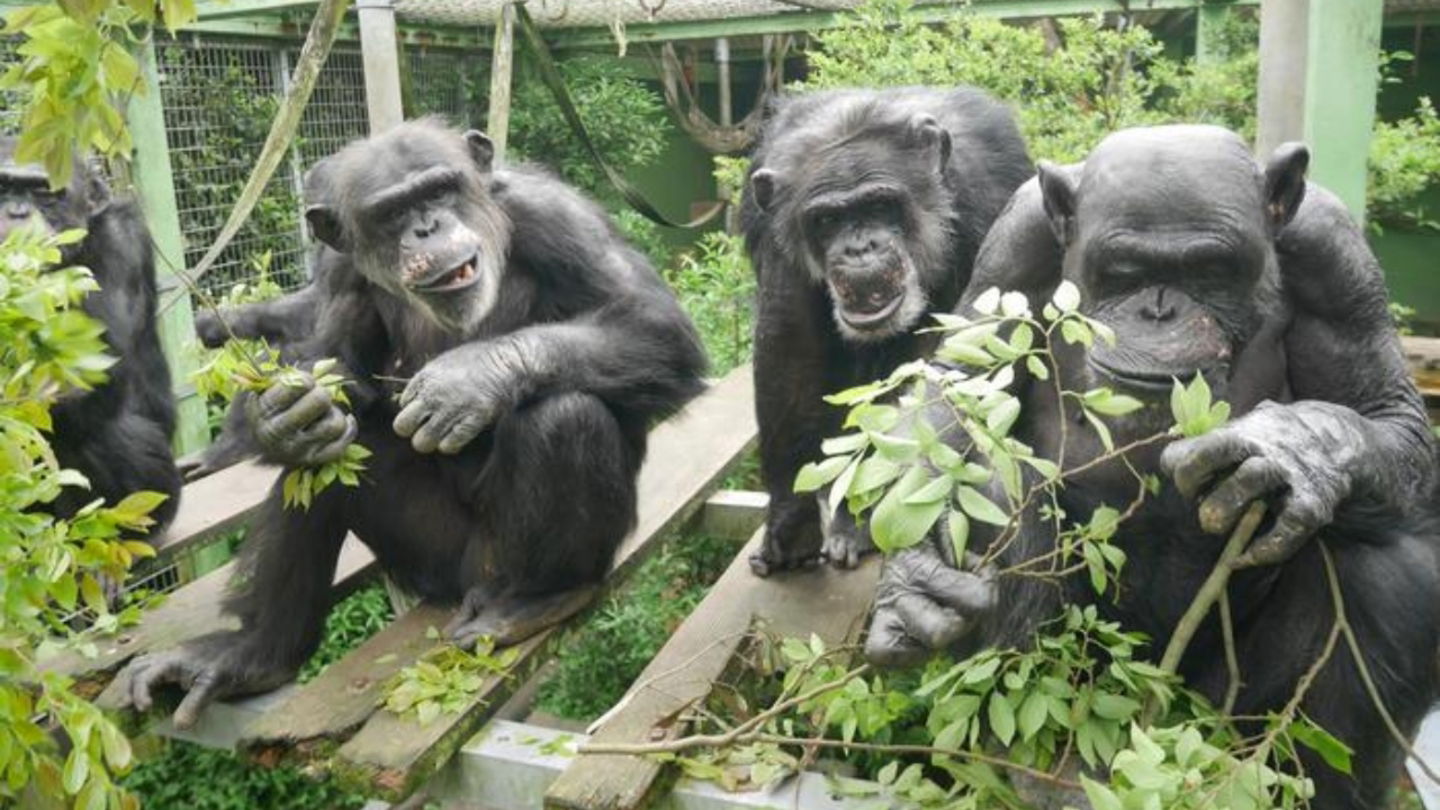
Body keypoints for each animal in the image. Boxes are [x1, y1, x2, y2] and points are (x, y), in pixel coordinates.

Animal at [1, 136, 181, 530]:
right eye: (2, 187)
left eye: (45, 192)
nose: (17, 212)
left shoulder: (119, 241)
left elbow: (84, 370)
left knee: (107, 434)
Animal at [128, 115, 702, 726]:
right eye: (390, 213)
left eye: (439, 190)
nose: (427, 228)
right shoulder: (339, 269)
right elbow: (334, 363)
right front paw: (280, 416)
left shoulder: (558, 216)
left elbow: (653, 322)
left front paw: (469, 379)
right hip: (428, 559)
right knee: (325, 462)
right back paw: (253, 653)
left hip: (500, 562)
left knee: (565, 416)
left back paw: (538, 599)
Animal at [743, 86, 1036, 573]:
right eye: (826, 220)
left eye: (880, 205)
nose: (860, 248)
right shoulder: (776, 233)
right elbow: (789, 345)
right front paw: (790, 519)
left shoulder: (990, 195)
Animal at [864, 123, 1440, 801]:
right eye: (1125, 272)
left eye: (1210, 270)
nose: (1159, 308)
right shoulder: (1015, 242)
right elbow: (961, 384)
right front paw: (913, 579)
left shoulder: (1336, 259)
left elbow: (1386, 410)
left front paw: (1290, 448)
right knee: (994, 492)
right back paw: (1044, 775)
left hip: (1217, 711)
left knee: (1387, 569)